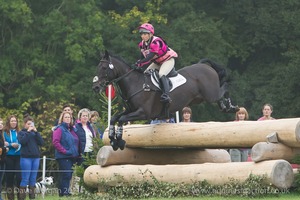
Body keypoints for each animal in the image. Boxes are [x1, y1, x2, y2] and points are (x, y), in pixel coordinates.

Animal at [92, 50, 238, 150]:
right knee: (221, 93)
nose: (95, 87)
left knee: (225, 87)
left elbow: (121, 119)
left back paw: (231, 107)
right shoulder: (130, 110)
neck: (136, 84)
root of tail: (205, 66)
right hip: (200, 98)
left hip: (210, 94)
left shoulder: (143, 113)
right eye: (98, 67)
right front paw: (112, 139)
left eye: (104, 68)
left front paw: (119, 141)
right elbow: (114, 118)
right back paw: (225, 107)